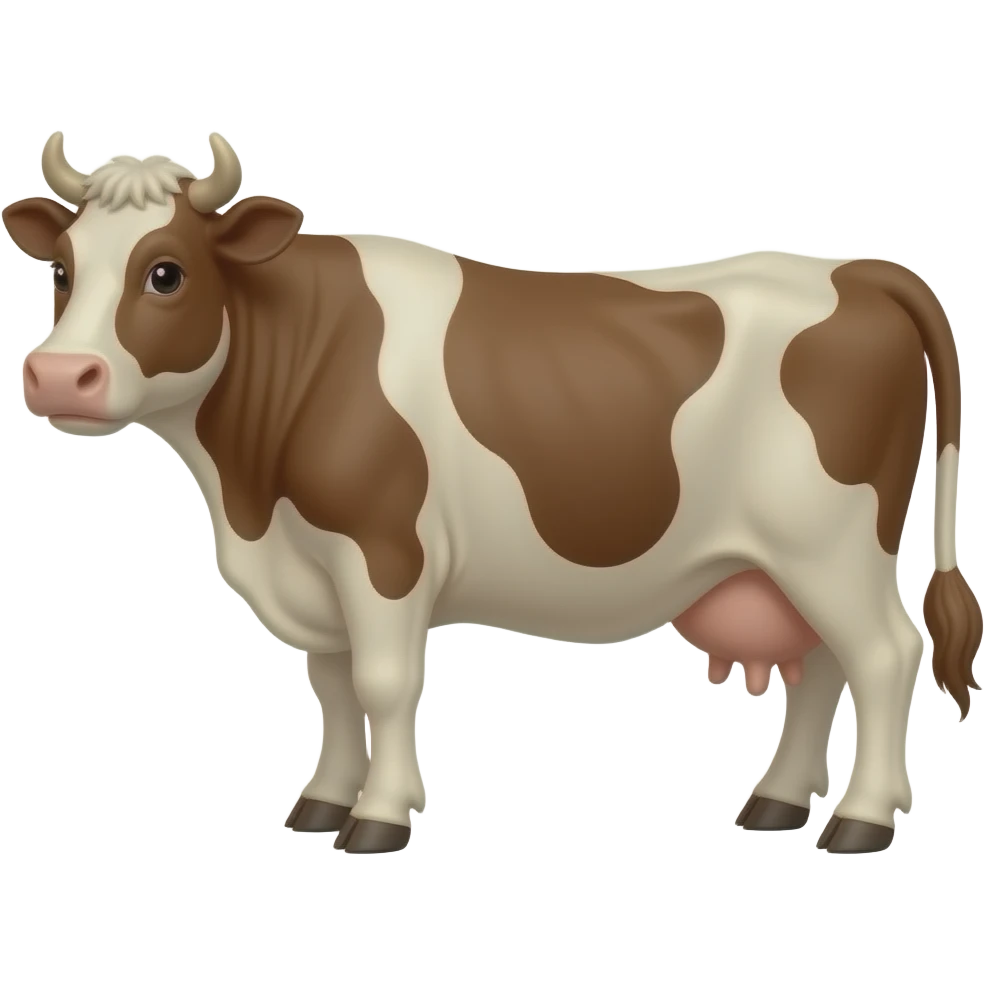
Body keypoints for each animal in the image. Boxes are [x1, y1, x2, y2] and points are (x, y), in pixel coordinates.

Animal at [5, 132, 981, 855]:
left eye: (165, 272)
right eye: (62, 272)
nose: (58, 376)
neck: (248, 496)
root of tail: (854, 270)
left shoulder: (383, 549)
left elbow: (386, 682)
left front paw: (379, 817)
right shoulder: (313, 566)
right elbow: (333, 685)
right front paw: (322, 801)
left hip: (832, 542)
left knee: (885, 654)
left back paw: (861, 819)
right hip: (784, 560)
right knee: (823, 664)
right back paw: (776, 802)